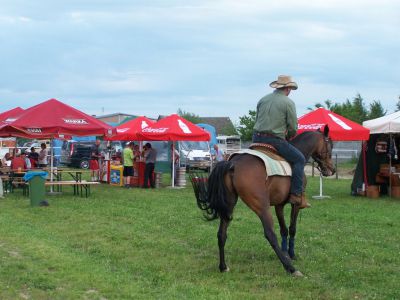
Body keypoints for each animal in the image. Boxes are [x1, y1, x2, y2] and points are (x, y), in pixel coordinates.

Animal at [190, 126, 334, 276]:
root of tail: (232, 163)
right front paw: (291, 255)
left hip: (228, 206)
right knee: (270, 234)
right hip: (262, 207)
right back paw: (291, 268)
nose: (332, 169)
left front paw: (286, 253)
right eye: (330, 145)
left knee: (221, 234)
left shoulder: (279, 205)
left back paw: (223, 266)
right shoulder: (295, 204)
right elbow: (292, 229)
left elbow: (284, 230)